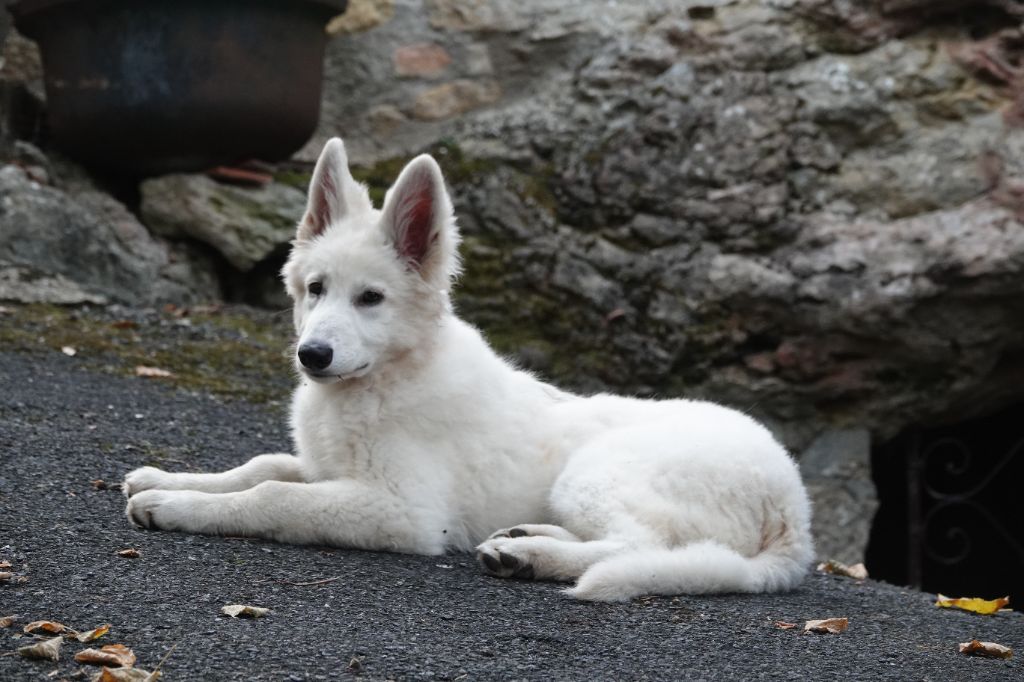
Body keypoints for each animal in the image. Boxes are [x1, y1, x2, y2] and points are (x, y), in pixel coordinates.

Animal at [123, 137, 811, 593]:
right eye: (315, 289)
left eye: (371, 299)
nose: (311, 355)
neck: (383, 380)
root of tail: (793, 507)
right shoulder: (329, 468)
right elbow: (262, 466)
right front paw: (167, 478)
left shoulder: (406, 513)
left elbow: (273, 497)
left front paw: (174, 505)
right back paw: (521, 541)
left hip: (598, 472)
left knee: (644, 544)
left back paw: (533, 558)